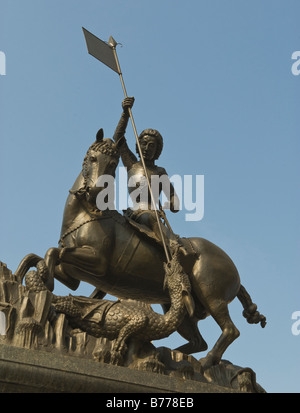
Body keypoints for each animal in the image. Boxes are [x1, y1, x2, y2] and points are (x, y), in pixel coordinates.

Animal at [15, 129, 266, 366]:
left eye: (113, 164)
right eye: (93, 158)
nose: (95, 191)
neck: (88, 215)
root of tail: (231, 266)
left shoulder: (98, 264)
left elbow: (53, 253)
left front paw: (44, 283)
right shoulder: (73, 275)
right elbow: (38, 256)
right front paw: (22, 276)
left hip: (211, 295)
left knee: (230, 331)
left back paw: (204, 362)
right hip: (180, 305)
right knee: (197, 341)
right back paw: (169, 355)